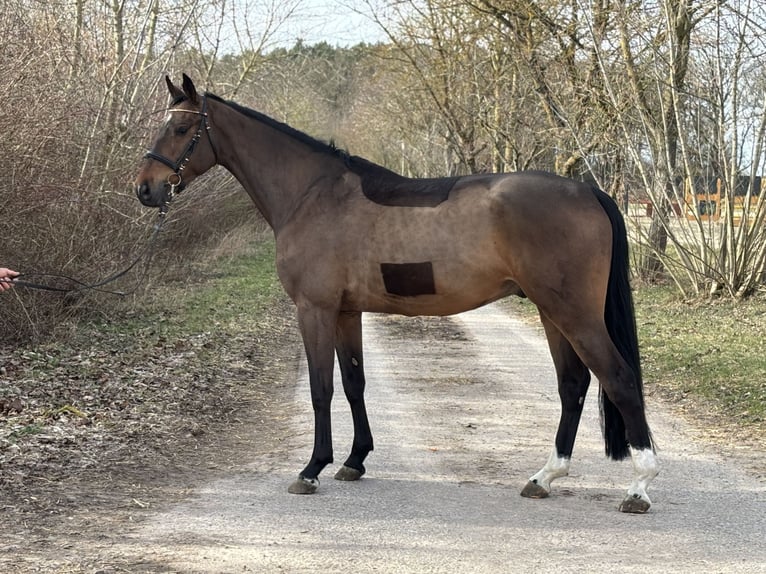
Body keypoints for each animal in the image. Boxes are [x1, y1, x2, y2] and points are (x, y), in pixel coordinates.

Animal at [135, 74, 658, 513]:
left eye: (181, 128)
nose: (145, 189)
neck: (312, 194)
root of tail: (589, 192)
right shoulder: (346, 312)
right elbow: (353, 383)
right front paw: (354, 460)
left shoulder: (314, 309)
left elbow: (321, 389)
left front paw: (312, 468)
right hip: (552, 312)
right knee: (573, 385)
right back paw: (545, 477)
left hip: (573, 314)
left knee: (618, 379)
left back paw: (639, 487)